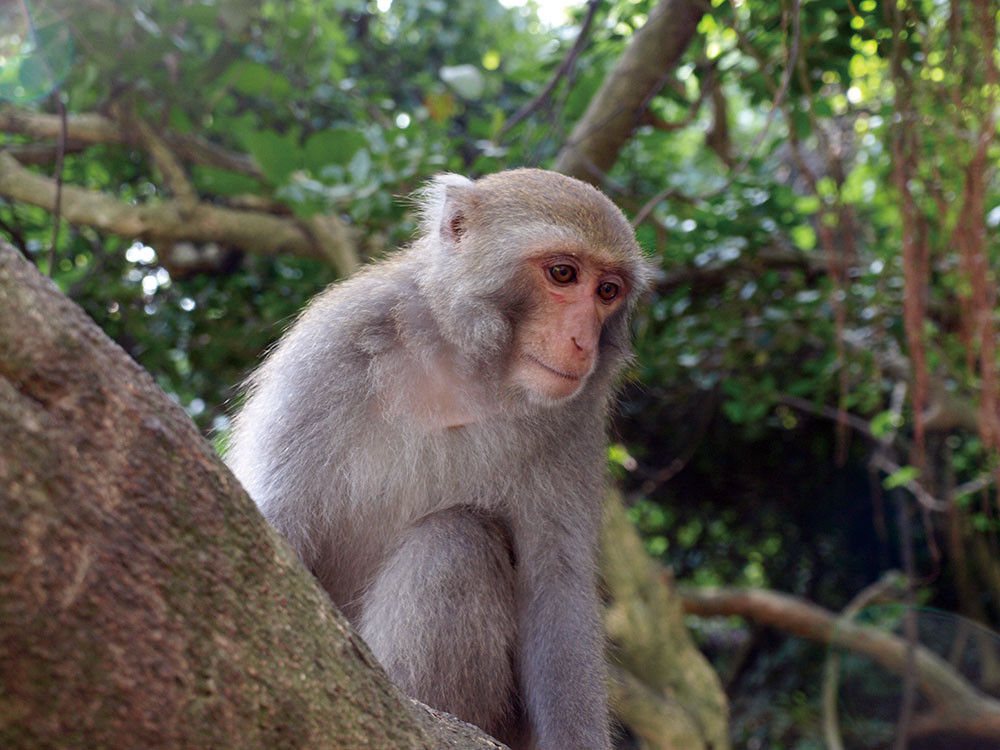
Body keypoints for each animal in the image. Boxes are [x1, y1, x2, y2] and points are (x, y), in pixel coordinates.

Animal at [226, 168, 654, 750]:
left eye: (608, 291)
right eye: (563, 274)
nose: (582, 341)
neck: (465, 366)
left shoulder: (575, 421)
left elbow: (555, 588)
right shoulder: (329, 355)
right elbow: (279, 523)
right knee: (457, 539)